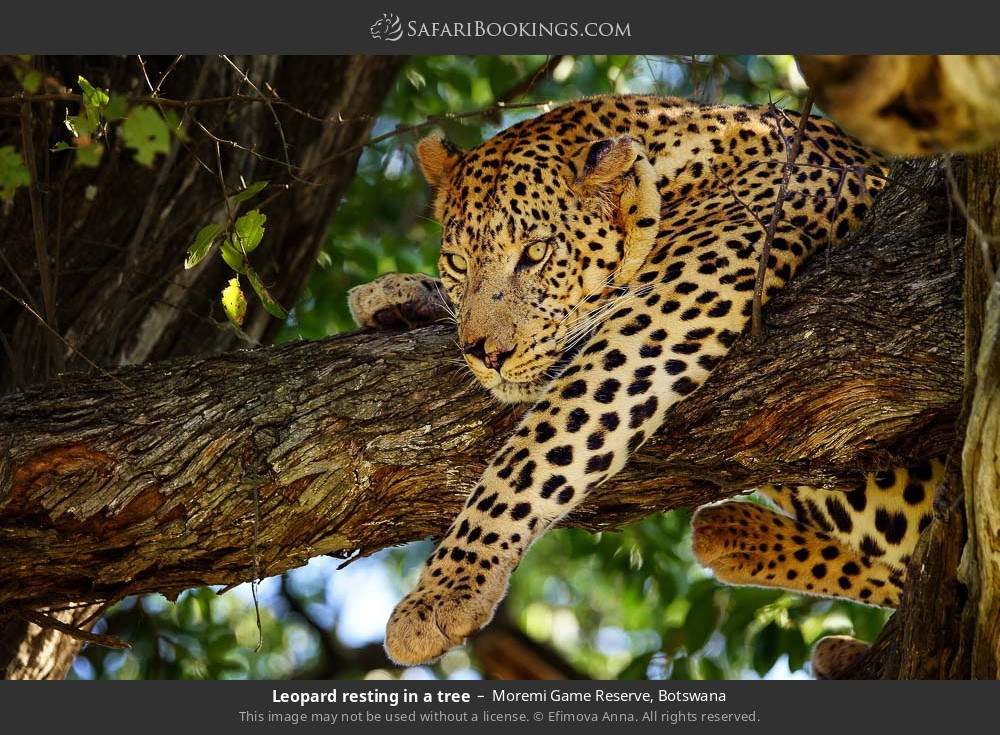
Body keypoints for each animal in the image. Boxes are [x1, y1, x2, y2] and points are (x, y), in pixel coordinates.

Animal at [348, 95, 940, 676]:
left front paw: (446, 590)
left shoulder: (662, 316)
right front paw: (393, 292)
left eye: (536, 253)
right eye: (457, 262)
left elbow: (536, 451)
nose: (487, 355)